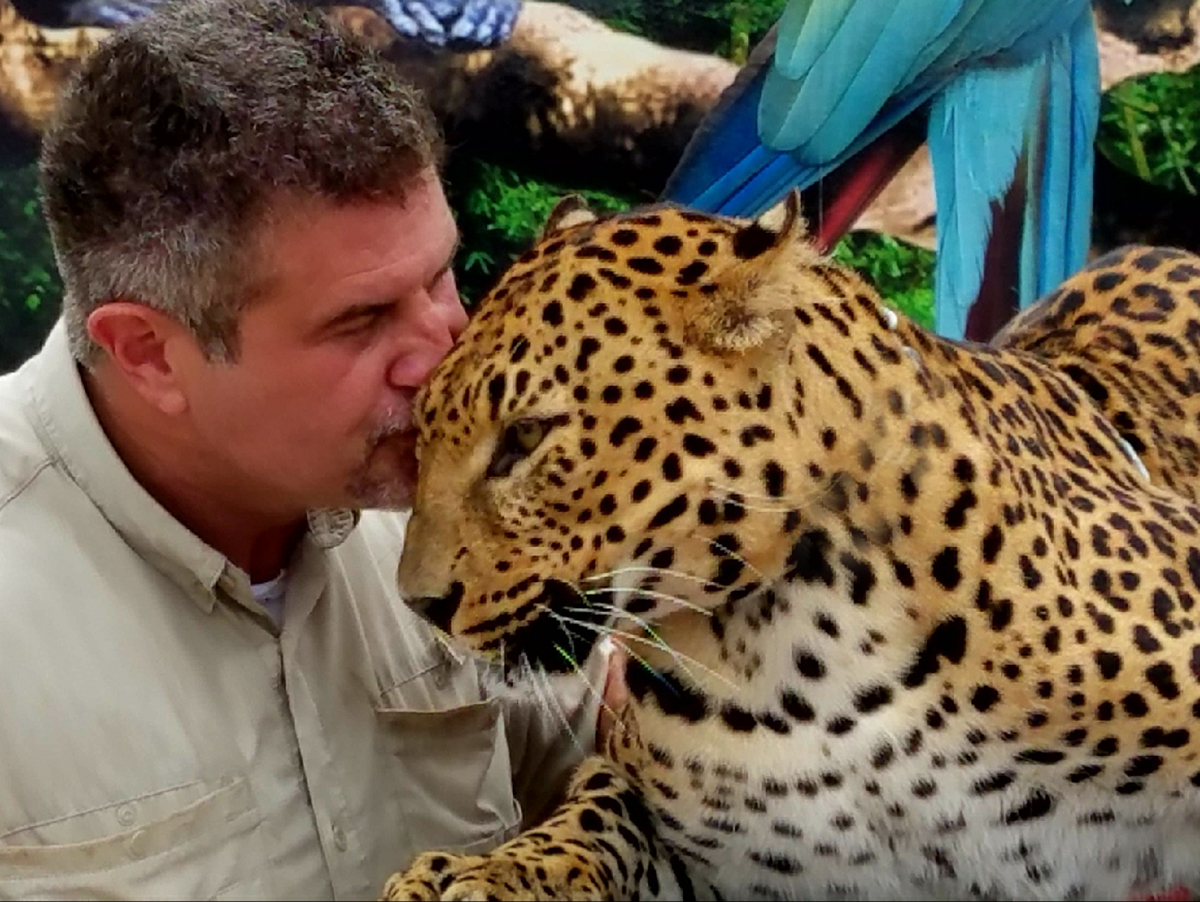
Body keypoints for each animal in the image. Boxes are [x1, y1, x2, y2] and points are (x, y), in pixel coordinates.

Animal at [381, 189, 1200, 902]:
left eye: (526, 436)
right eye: (420, 436)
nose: (421, 604)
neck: (795, 653)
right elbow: (593, 816)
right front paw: (479, 875)